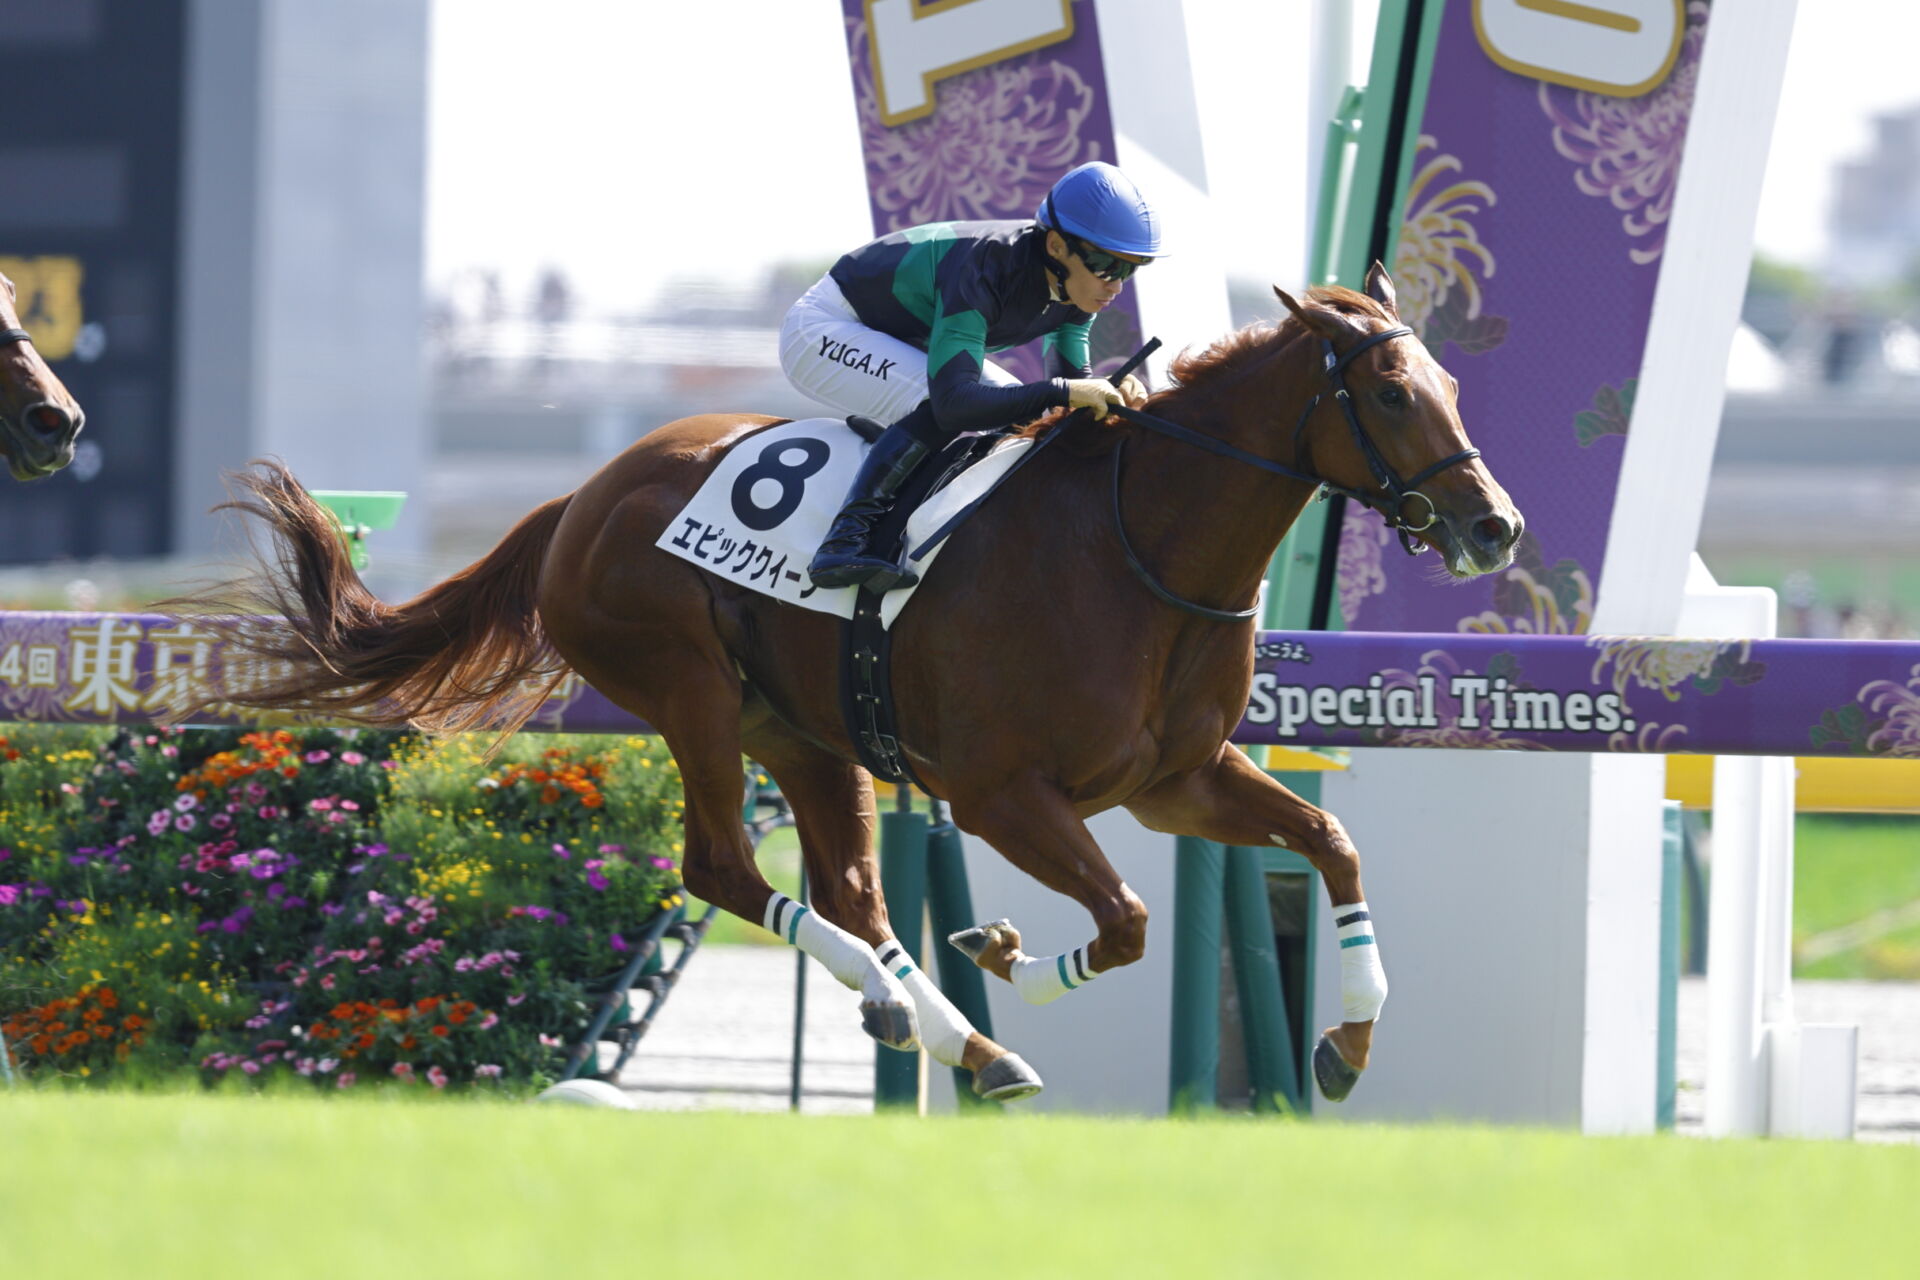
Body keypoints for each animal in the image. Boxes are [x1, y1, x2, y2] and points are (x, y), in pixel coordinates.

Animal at [194, 265, 1522, 1104]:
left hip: (808, 732)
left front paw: (1348, 1038)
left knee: (852, 888)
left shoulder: (1175, 780)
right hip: (689, 692)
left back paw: (947, 1033)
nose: (1494, 526)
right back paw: (929, 1015)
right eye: (1390, 392)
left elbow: (1332, 843)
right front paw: (1002, 949)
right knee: (723, 868)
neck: (1133, 548)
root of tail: (580, 494)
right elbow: (1128, 921)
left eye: (1455, 388)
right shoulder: (1003, 791)